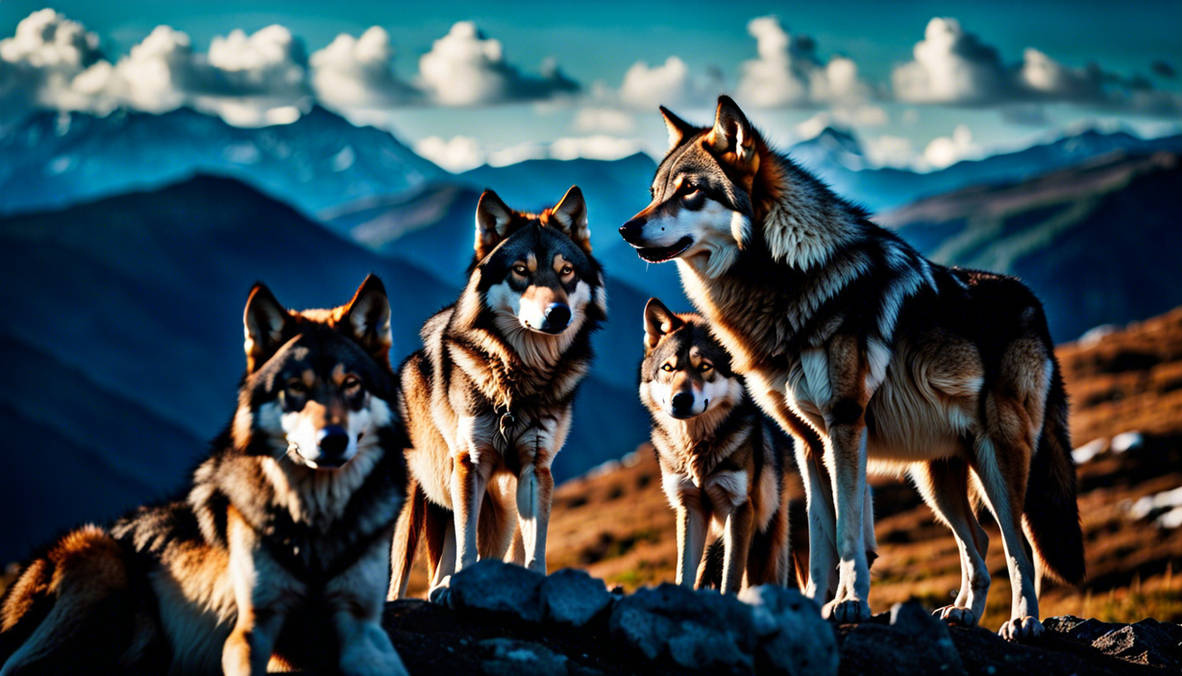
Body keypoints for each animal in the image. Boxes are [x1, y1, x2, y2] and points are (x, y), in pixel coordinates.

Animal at [0, 276, 409, 674]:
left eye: (352, 384)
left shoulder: (364, 629)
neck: (318, 522)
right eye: (296, 388)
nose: (333, 440)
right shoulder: (251, 632)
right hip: (99, 554)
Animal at [388, 186, 606, 598]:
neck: (517, 378)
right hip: (414, 508)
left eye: (566, 271)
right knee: (399, 579)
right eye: (520, 270)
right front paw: (458, 584)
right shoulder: (470, 464)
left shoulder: (535, 468)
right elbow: (468, 546)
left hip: (499, 511)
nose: (558, 313)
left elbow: (534, 548)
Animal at [640, 297, 792, 593]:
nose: (680, 400)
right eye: (668, 368)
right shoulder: (690, 507)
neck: (696, 448)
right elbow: (684, 573)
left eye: (704, 367)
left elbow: (730, 578)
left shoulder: (739, 508)